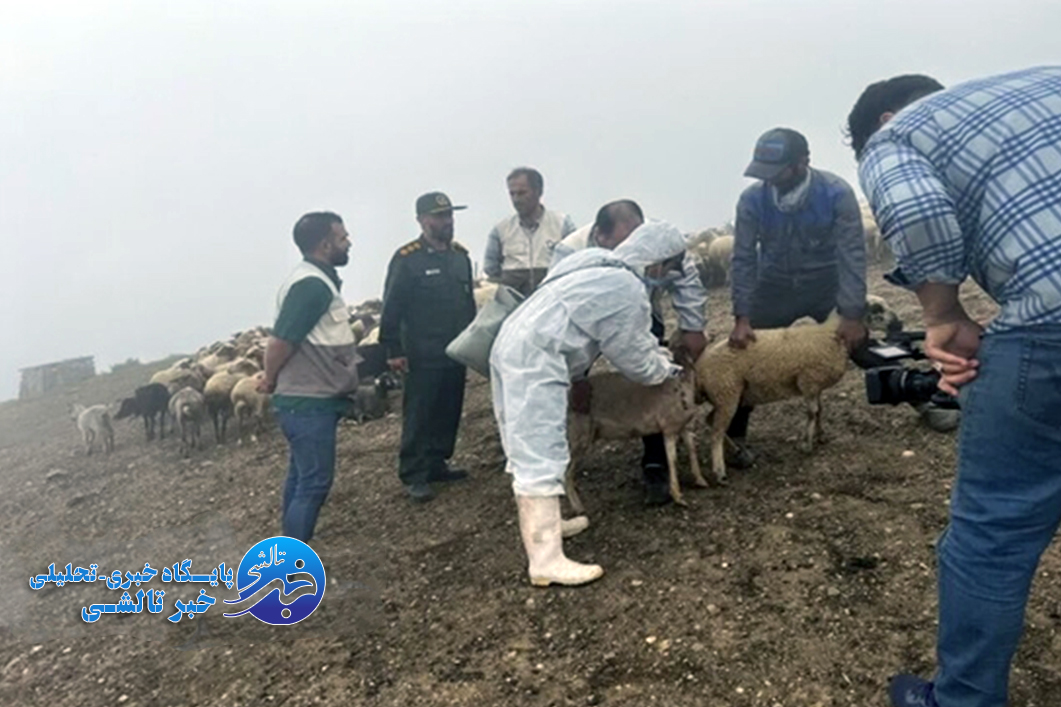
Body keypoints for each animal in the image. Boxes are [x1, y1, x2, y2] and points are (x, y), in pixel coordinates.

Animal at [560, 346, 708, 518]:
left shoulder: (682, 425)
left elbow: (692, 448)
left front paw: (701, 480)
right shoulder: (669, 426)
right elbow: (673, 460)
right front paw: (678, 497)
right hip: (578, 436)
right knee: (566, 474)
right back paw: (579, 509)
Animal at [696, 295, 903, 481]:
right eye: (876, 308)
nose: (899, 325)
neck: (831, 335)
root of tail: (699, 369)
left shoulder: (816, 385)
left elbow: (820, 410)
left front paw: (820, 436)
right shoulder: (808, 381)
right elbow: (812, 412)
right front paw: (806, 445)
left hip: (726, 394)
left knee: (711, 421)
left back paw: (734, 450)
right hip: (726, 391)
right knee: (716, 433)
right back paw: (719, 471)